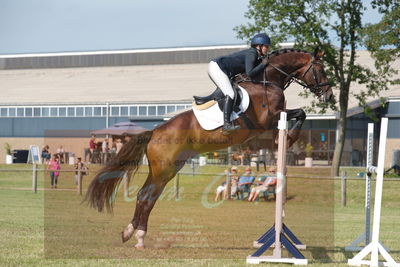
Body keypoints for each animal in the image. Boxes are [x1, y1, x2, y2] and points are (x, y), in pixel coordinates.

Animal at [85, 48, 334, 249]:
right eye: (321, 70)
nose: (329, 95)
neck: (267, 81)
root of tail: (154, 132)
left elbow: (298, 114)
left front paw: (285, 140)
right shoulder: (269, 119)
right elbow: (300, 113)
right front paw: (288, 139)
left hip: (166, 169)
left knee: (145, 196)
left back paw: (131, 233)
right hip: (164, 169)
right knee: (146, 196)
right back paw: (138, 236)